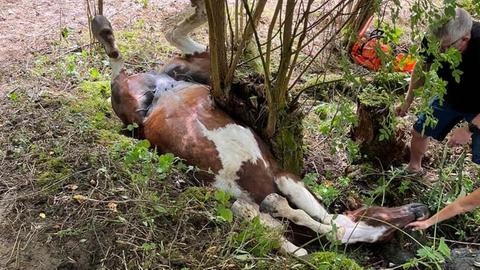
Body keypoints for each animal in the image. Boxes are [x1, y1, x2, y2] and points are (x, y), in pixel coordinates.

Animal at [91, 12, 428, 258]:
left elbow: (286, 231)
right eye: (380, 215)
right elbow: (331, 224)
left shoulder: (249, 197)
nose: (419, 209)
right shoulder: (285, 177)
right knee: (125, 64)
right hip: (136, 101)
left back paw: (106, 27)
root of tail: (161, 85)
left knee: (171, 43)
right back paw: (107, 27)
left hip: (164, 87)